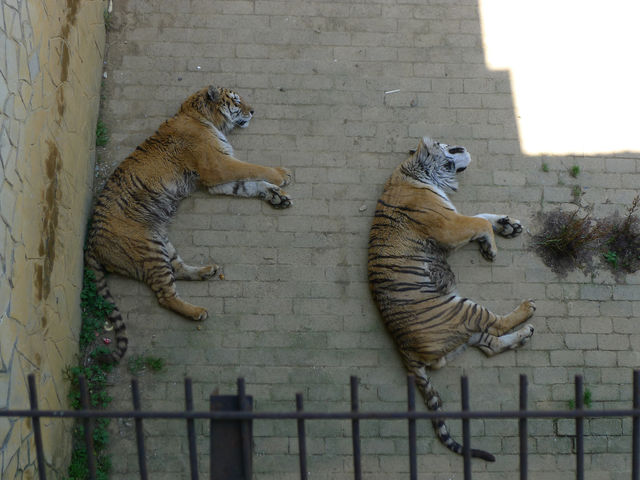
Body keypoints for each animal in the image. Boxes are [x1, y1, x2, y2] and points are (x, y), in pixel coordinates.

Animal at [85, 86, 292, 364]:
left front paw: (276, 196)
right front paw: (281, 175)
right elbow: (252, 169)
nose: (253, 111)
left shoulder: (215, 180)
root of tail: (90, 241)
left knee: (178, 269)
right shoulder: (217, 166)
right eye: (237, 101)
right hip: (147, 248)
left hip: (160, 242)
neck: (201, 117)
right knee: (164, 294)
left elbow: (249, 184)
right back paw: (197, 311)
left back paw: (207, 271)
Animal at [364, 135, 536, 462]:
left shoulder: (454, 216)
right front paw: (491, 247)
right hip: (462, 309)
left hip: (463, 328)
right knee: (495, 326)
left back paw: (525, 335)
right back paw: (527, 309)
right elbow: (479, 222)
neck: (413, 171)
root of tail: (404, 349)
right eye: (447, 146)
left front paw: (508, 225)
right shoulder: (448, 224)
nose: (463, 147)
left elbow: (481, 217)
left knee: (492, 346)